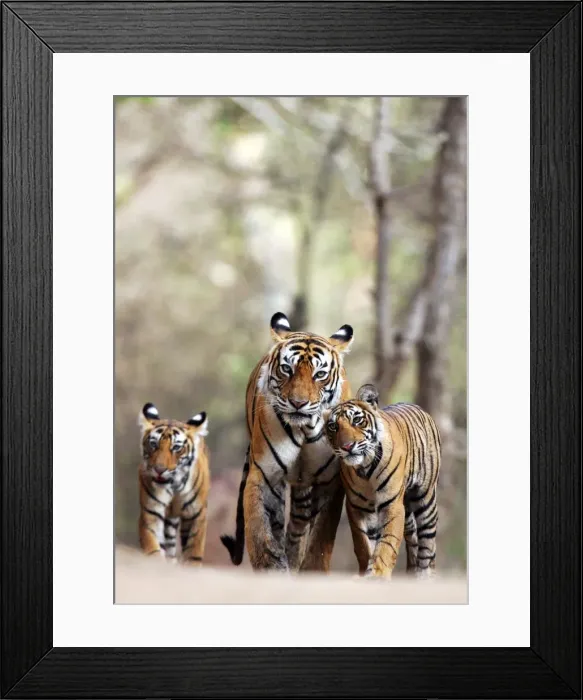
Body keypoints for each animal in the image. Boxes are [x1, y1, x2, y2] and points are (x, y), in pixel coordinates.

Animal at [138, 403, 210, 565]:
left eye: (176, 447)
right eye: (153, 444)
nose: (159, 469)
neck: (174, 485)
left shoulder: (196, 514)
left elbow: (193, 551)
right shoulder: (151, 512)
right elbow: (153, 548)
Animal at [221, 311, 354, 572]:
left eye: (319, 374)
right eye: (286, 369)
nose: (298, 403)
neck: (305, 427)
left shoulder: (330, 482)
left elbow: (321, 538)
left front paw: (312, 570)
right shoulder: (265, 474)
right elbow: (261, 532)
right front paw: (272, 567)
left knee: (299, 527)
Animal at [324, 384, 440, 579]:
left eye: (357, 420)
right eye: (333, 426)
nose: (347, 447)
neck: (365, 468)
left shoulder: (392, 505)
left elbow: (388, 542)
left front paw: (378, 573)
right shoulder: (357, 507)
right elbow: (363, 544)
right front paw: (366, 571)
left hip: (425, 499)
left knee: (428, 542)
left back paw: (424, 575)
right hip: (407, 512)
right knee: (413, 540)